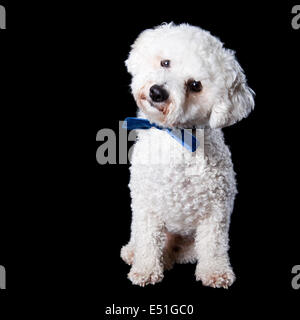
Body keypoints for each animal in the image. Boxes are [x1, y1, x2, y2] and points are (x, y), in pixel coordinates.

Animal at [120, 22, 254, 288]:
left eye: (195, 85)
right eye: (165, 63)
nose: (157, 92)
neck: (176, 140)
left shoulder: (217, 209)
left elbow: (214, 244)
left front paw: (215, 272)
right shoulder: (146, 204)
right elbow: (148, 239)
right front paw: (146, 269)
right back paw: (135, 251)